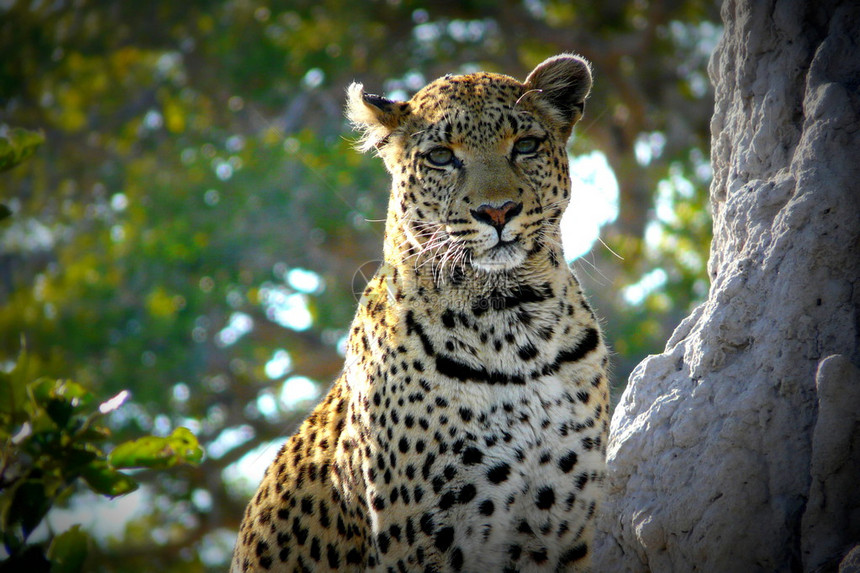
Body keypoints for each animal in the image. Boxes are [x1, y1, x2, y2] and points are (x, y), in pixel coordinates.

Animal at [232, 53, 612, 572]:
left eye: (527, 146)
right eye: (441, 157)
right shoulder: (426, 539)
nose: (499, 212)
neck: (514, 316)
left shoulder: (563, 527)